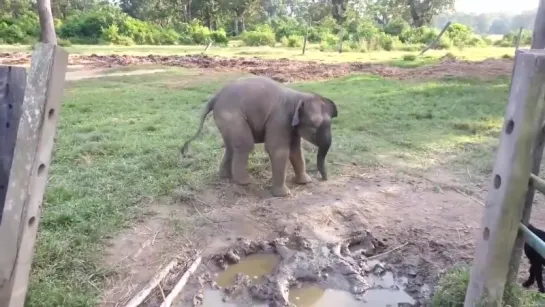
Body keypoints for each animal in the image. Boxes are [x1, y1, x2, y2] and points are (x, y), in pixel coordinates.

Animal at [181, 75, 338, 197]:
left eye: (331, 123)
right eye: (314, 126)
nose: (324, 179)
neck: (299, 97)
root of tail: (215, 97)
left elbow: (296, 150)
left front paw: (305, 182)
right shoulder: (279, 120)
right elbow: (278, 151)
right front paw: (284, 194)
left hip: (225, 120)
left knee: (231, 146)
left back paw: (226, 176)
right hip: (232, 117)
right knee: (245, 145)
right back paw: (244, 182)